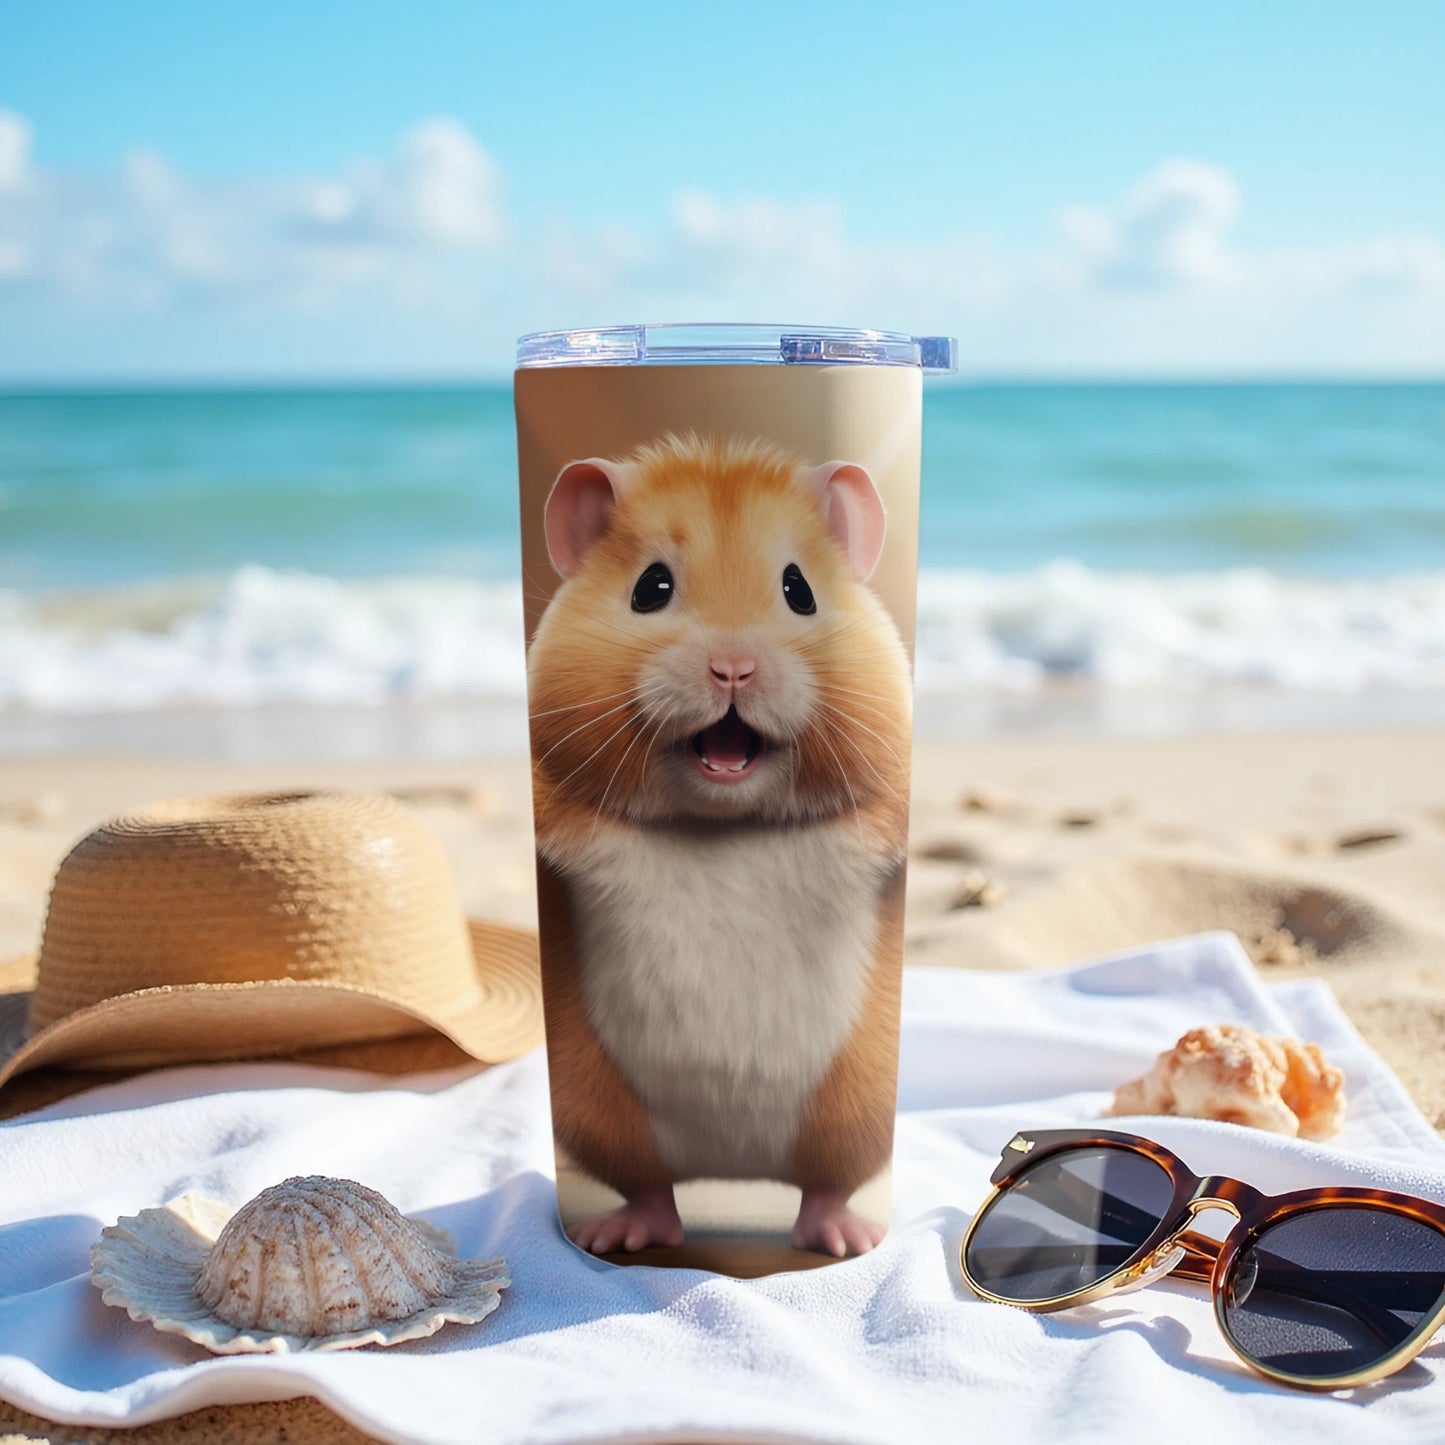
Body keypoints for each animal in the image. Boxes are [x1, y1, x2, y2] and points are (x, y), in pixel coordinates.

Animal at [527, 431, 912, 1259]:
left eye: (799, 589)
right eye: (651, 587)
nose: (732, 667)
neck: (722, 822)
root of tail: (732, 1171)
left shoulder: (879, 803)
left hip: (853, 1108)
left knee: (824, 1188)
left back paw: (846, 1238)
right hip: (602, 1109)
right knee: (651, 1190)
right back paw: (616, 1235)